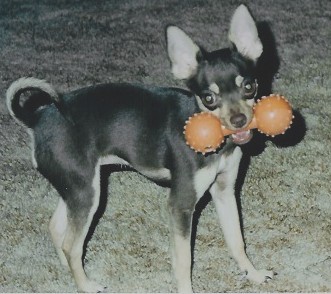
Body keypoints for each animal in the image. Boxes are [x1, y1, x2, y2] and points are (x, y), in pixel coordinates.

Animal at [6, 5, 274, 294]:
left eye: (249, 86)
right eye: (209, 98)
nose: (239, 120)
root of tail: (38, 119)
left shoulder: (224, 192)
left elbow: (236, 240)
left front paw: (253, 274)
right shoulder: (181, 205)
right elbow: (184, 259)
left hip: (77, 187)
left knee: (56, 229)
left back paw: (69, 273)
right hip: (86, 194)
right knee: (71, 245)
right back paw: (85, 284)